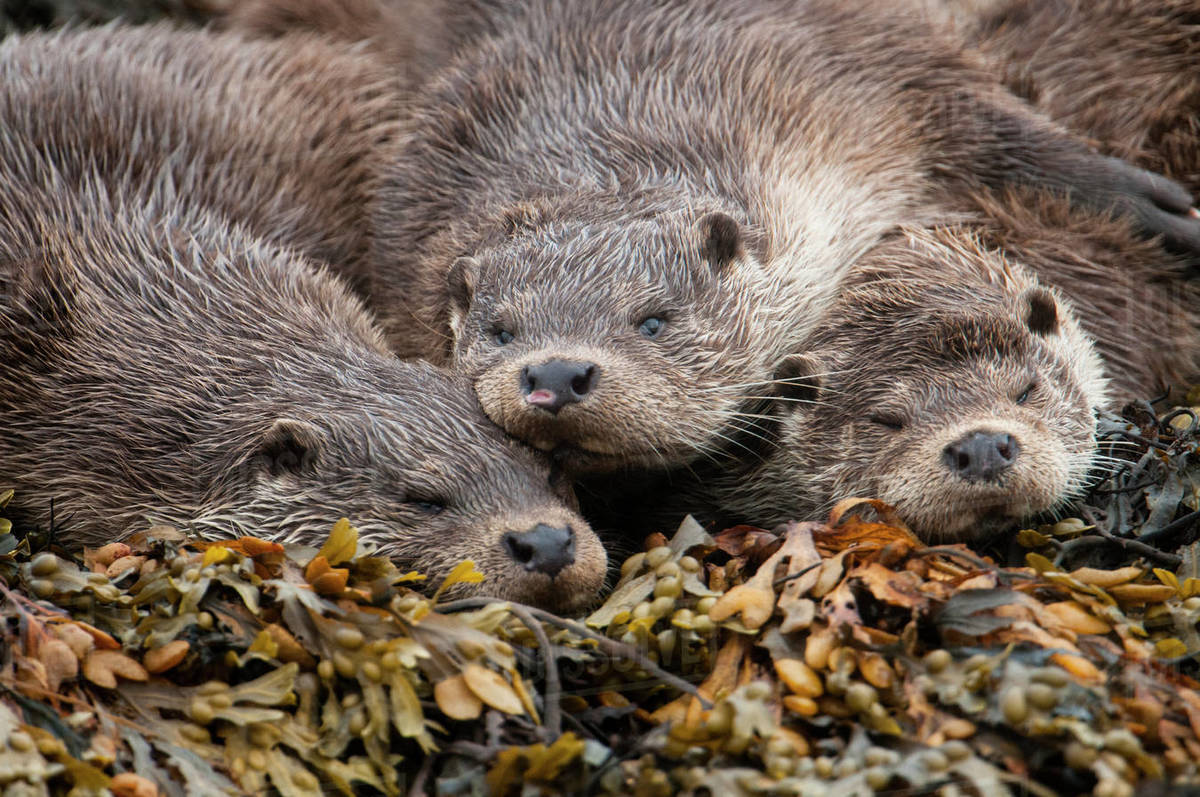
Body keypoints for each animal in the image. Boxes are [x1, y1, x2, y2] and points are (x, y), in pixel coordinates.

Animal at [355, 0, 1200, 472]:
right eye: (499, 331)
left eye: (654, 319)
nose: (556, 374)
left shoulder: (864, 61)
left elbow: (1008, 134)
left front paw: (1158, 206)